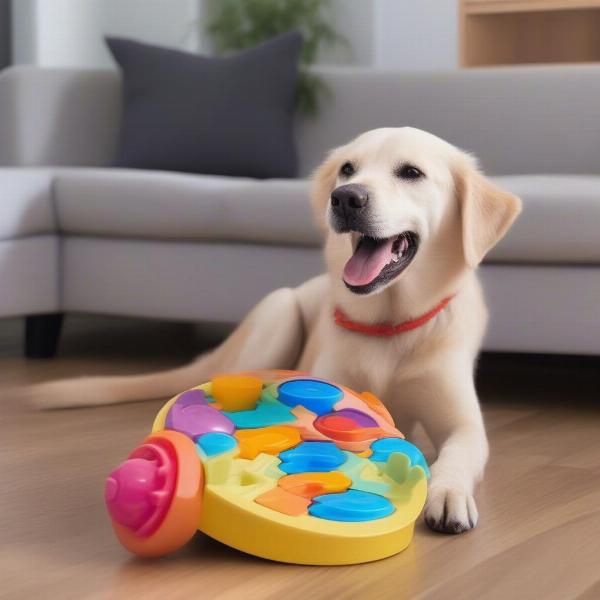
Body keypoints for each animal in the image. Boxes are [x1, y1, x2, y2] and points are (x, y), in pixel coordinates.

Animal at [32, 127, 520, 536]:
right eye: (348, 169)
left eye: (412, 172)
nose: (345, 198)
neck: (389, 324)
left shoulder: (463, 425)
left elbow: (456, 456)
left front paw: (449, 494)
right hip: (279, 311)